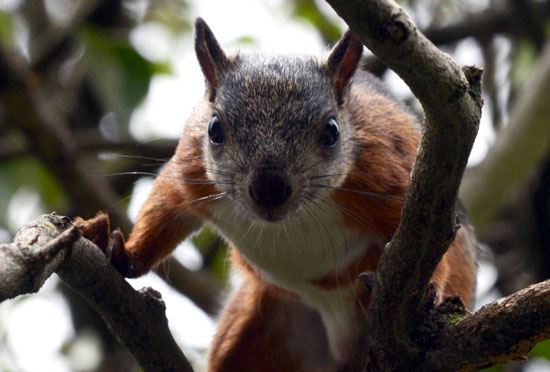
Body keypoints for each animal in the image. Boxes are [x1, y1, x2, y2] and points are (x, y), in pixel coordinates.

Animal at [75, 18, 480, 372]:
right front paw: (121, 251)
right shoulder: (189, 172)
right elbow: (165, 208)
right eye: (214, 128)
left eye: (332, 131)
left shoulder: (390, 172)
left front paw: (428, 290)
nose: (269, 190)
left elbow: (430, 239)